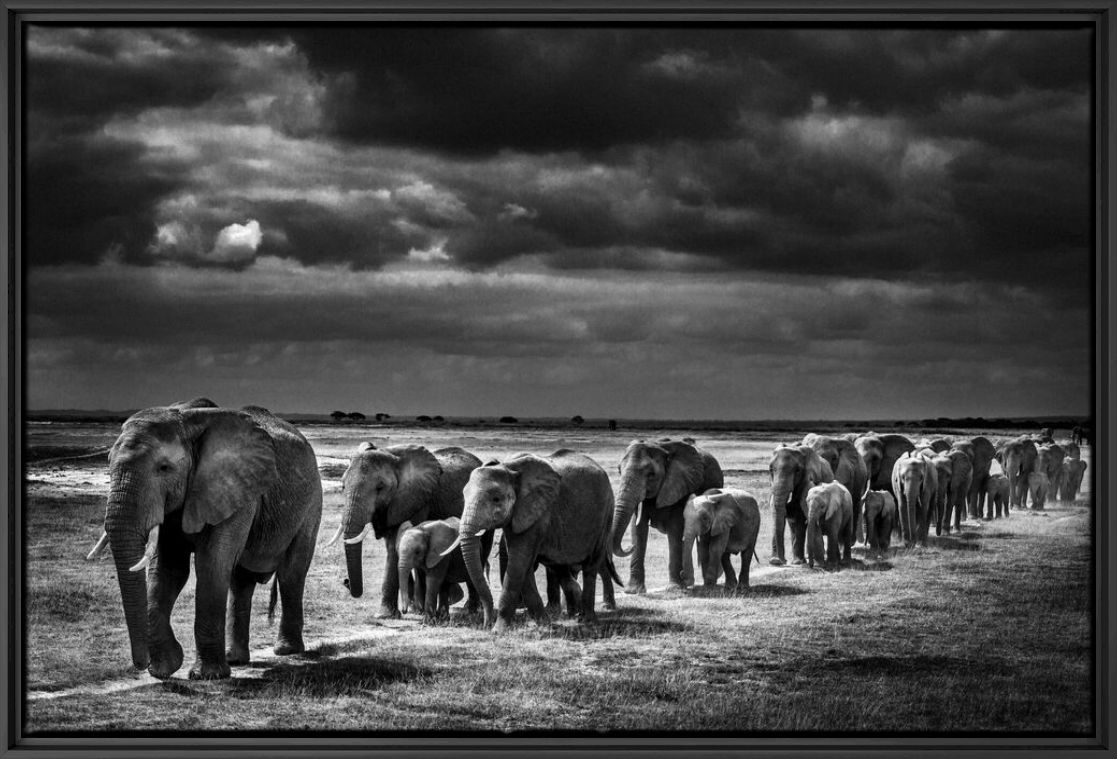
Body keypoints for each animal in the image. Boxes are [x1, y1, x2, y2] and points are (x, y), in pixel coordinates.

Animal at [85, 400, 323, 679]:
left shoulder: (235, 491)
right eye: (108, 463)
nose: (142, 664)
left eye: (164, 468)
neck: (187, 420)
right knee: (240, 581)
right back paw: (235, 659)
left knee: (290, 574)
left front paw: (204, 675)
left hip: (311, 502)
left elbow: (211, 564)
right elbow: (168, 570)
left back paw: (286, 651)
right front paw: (166, 668)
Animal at [332, 444, 487, 617]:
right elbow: (396, 546)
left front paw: (386, 615)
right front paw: (413, 609)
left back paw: (471, 610)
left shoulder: (416, 500)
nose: (346, 581)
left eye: (380, 487)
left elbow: (394, 547)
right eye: (343, 486)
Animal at [455, 449, 621, 630]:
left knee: (591, 566)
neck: (508, 468)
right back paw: (576, 614)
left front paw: (498, 630)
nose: (486, 623)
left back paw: (587, 621)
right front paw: (544, 623)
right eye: (463, 496)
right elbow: (523, 566)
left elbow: (518, 561)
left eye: (496, 499)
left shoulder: (537, 512)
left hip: (605, 515)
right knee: (561, 566)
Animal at [612, 440, 723, 594]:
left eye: (651, 474)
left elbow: (675, 529)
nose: (629, 546)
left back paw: (706, 584)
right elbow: (638, 528)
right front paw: (633, 591)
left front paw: (674, 588)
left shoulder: (680, 487)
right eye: (618, 470)